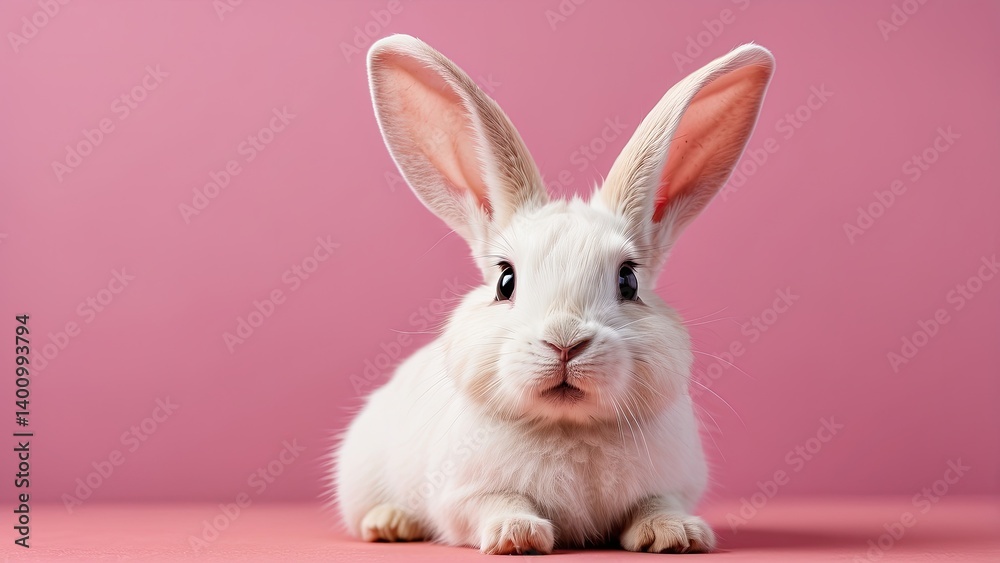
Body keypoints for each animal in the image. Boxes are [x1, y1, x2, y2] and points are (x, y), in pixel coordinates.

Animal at [333, 34, 774, 555]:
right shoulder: (461, 496)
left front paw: (676, 535)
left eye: (629, 281)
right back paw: (391, 523)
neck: (569, 425)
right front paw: (517, 535)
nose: (565, 343)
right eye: (505, 281)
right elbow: (496, 503)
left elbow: (656, 503)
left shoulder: (672, 484)